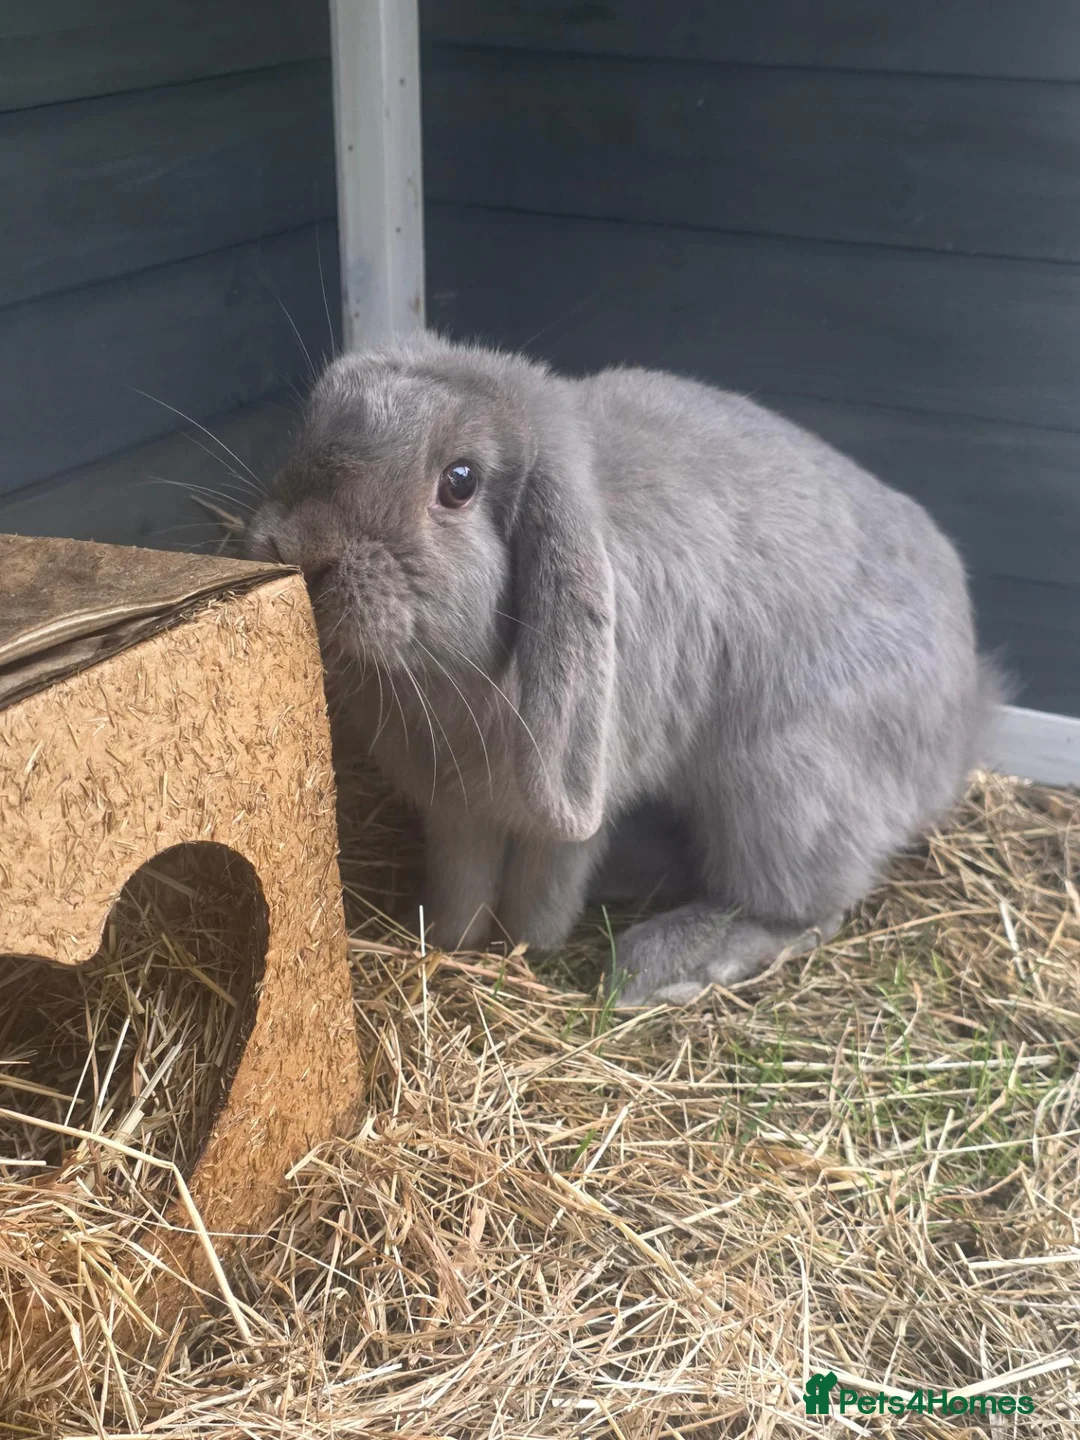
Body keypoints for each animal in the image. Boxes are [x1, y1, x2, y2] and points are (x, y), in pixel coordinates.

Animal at [246, 332, 1000, 1005]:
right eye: (306, 428)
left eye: (459, 483)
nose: (298, 550)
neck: (443, 680)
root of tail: (963, 729)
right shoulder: (455, 809)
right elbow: (462, 881)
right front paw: (440, 938)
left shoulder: (583, 795)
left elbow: (548, 879)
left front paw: (527, 947)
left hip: (785, 790)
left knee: (798, 908)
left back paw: (661, 965)